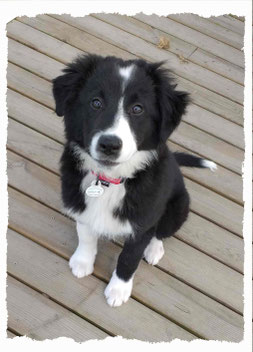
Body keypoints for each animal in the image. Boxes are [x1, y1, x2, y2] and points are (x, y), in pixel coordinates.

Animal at [52, 53, 216, 306]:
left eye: (138, 109)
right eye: (95, 103)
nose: (109, 145)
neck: (110, 180)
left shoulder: (143, 222)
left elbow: (129, 257)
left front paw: (118, 290)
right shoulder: (79, 203)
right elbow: (86, 233)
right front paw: (82, 262)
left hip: (179, 206)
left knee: (161, 232)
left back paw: (154, 250)